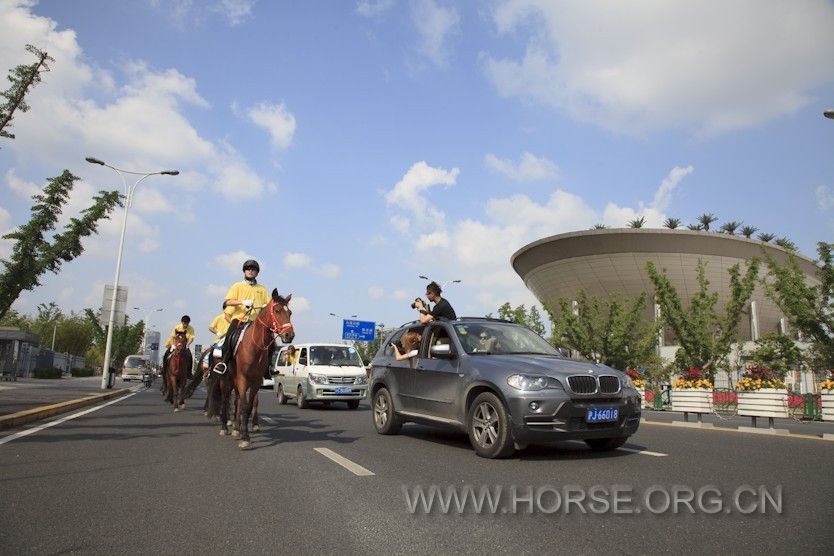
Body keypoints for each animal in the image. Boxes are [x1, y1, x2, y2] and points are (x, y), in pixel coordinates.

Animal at [223, 288, 294, 450]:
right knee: (227, 399)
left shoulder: (255, 381)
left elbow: (248, 406)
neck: (255, 347)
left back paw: (236, 428)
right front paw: (244, 437)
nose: (289, 335)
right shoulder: (243, 378)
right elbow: (243, 406)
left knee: (237, 401)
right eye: (277, 310)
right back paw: (225, 427)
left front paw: (244, 433)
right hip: (229, 380)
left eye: (290, 312)